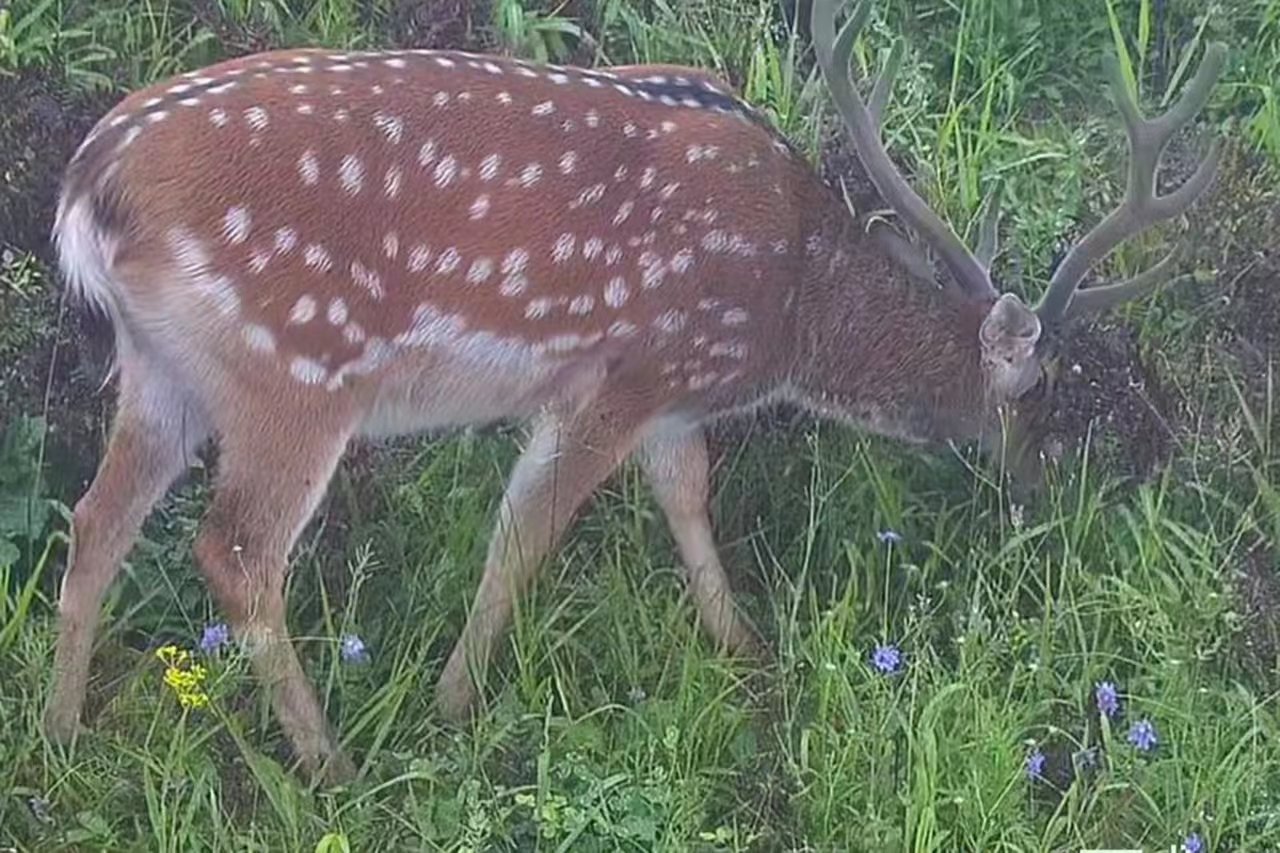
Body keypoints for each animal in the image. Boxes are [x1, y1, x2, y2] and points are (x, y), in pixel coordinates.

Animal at [42, 0, 1228, 778]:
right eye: (1047, 389)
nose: (1043, 489)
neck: (790, 303)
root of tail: (88, 189)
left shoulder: (673, 398)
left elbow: (686, 495)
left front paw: (745, 649)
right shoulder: (632, 366)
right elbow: (527, 527)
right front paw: (454, 704)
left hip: (162, 370)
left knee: (97, 518)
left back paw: (59, 734)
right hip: (294, 369)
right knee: (236, 550)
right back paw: (329, 760)